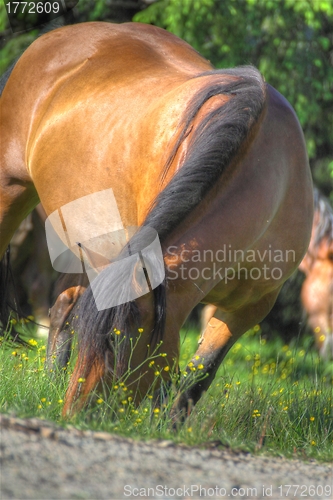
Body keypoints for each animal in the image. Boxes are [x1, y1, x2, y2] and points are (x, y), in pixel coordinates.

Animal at [0, 22, 312, 414]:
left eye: (120, 341)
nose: (75, 414)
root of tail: (49, 40)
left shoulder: (251, 307)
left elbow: (199, 375)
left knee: (63, 306)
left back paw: (52, 382)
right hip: (12, 189)